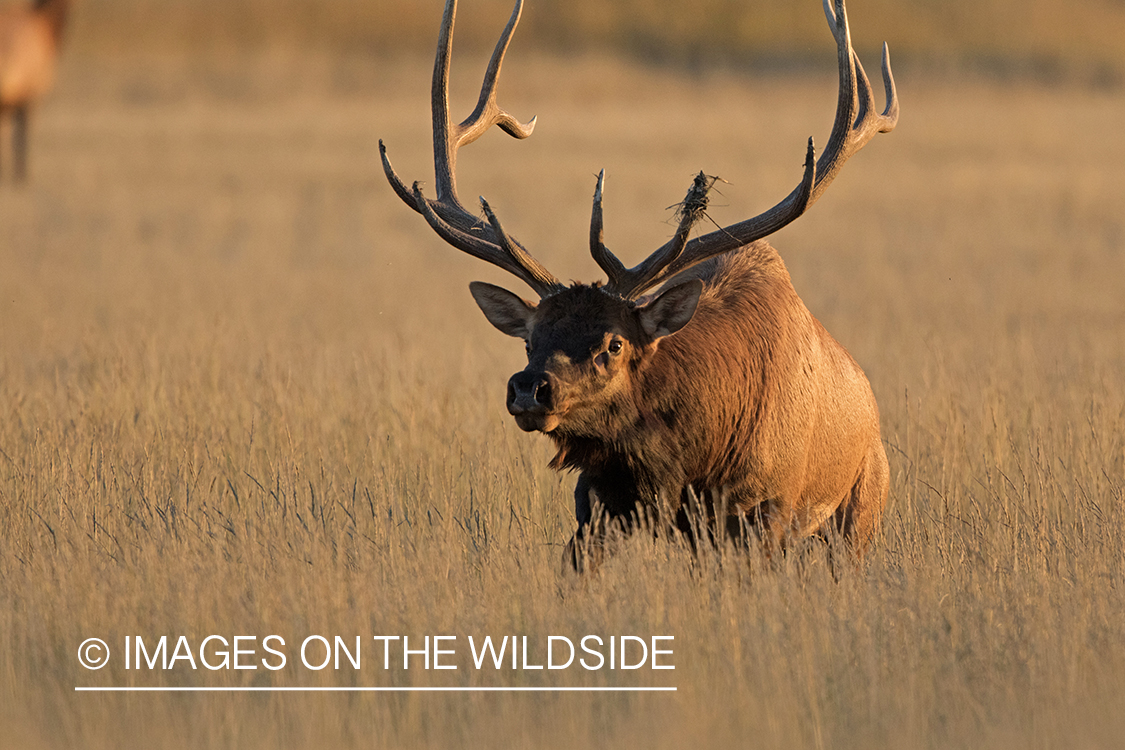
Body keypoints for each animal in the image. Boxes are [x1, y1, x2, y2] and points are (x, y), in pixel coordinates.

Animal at [382, 0, 900, 575]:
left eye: (615, 343)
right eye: (529, 337)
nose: (530, 388)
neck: (687, 462)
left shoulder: (766, 506)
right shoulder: (599, 502)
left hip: (860, 512)